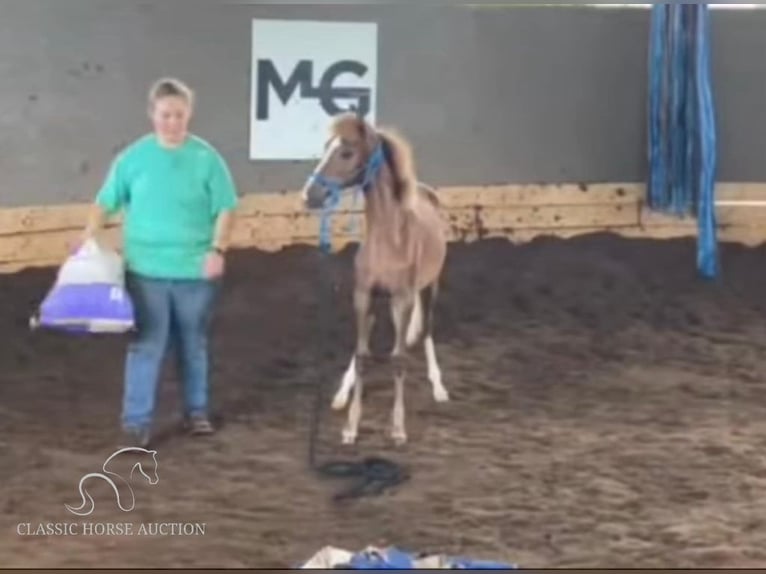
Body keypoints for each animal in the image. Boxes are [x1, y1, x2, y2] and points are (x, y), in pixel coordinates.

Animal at [302, 111, 450, 446]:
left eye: (346, 152)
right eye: (326, 147)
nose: (310, 195)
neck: (390, 239)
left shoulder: (404, 299)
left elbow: (398, 359)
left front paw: (397, 428)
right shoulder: (363, 295)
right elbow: (361, 356)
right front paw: (350, 426)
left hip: (428, 289)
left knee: (427, 330)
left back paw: (438, 387)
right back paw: (342, 394)